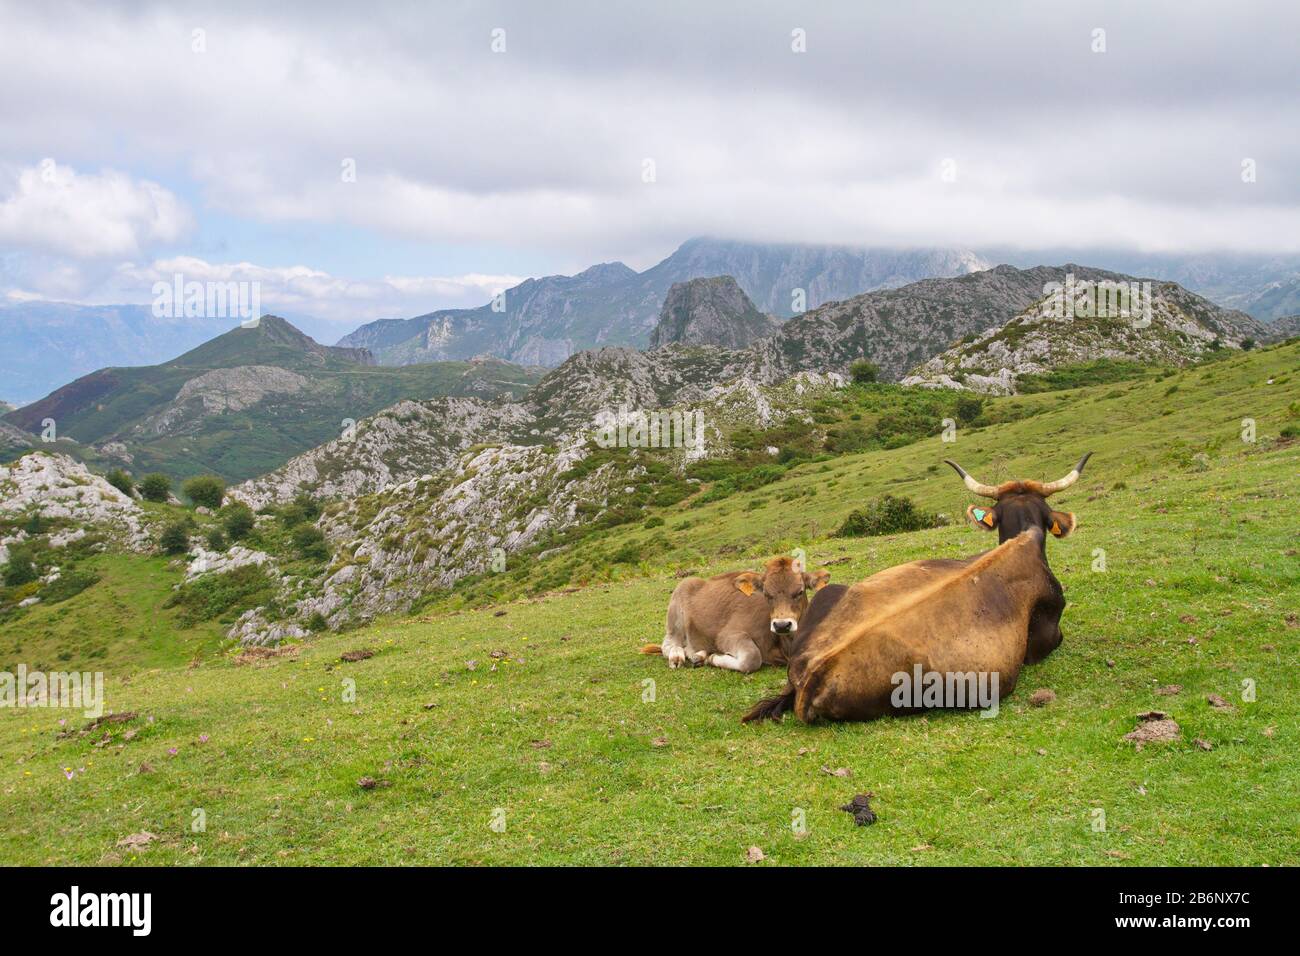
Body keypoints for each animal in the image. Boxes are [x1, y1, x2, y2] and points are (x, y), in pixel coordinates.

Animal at [639, 556, 832, 676]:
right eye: (767, 594)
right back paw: (678, 656)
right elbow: (752, 658)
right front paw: (713, 658)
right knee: (668, 644)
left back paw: (698, 655)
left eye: (799, 592)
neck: (784, 647)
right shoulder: (727, 635)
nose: (782, 625)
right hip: (676, 616)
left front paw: (706, 656)